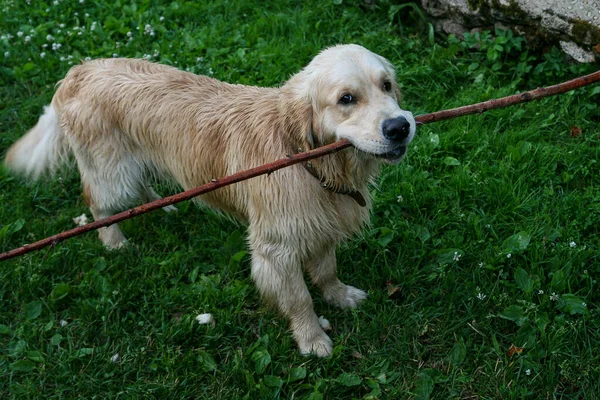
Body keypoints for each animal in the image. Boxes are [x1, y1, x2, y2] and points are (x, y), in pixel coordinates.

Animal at [4, 44, 414, 356]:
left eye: (387, 85)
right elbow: (300, 299)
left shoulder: (320, 225)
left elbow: (326, 270)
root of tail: (80, 69)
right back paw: (115, 241)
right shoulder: (276, 249)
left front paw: (340, 295)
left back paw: (163, 204)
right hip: (111, 172)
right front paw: (312, 339)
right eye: (347, 99)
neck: (312, 162)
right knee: (99, 204)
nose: (400, 127)